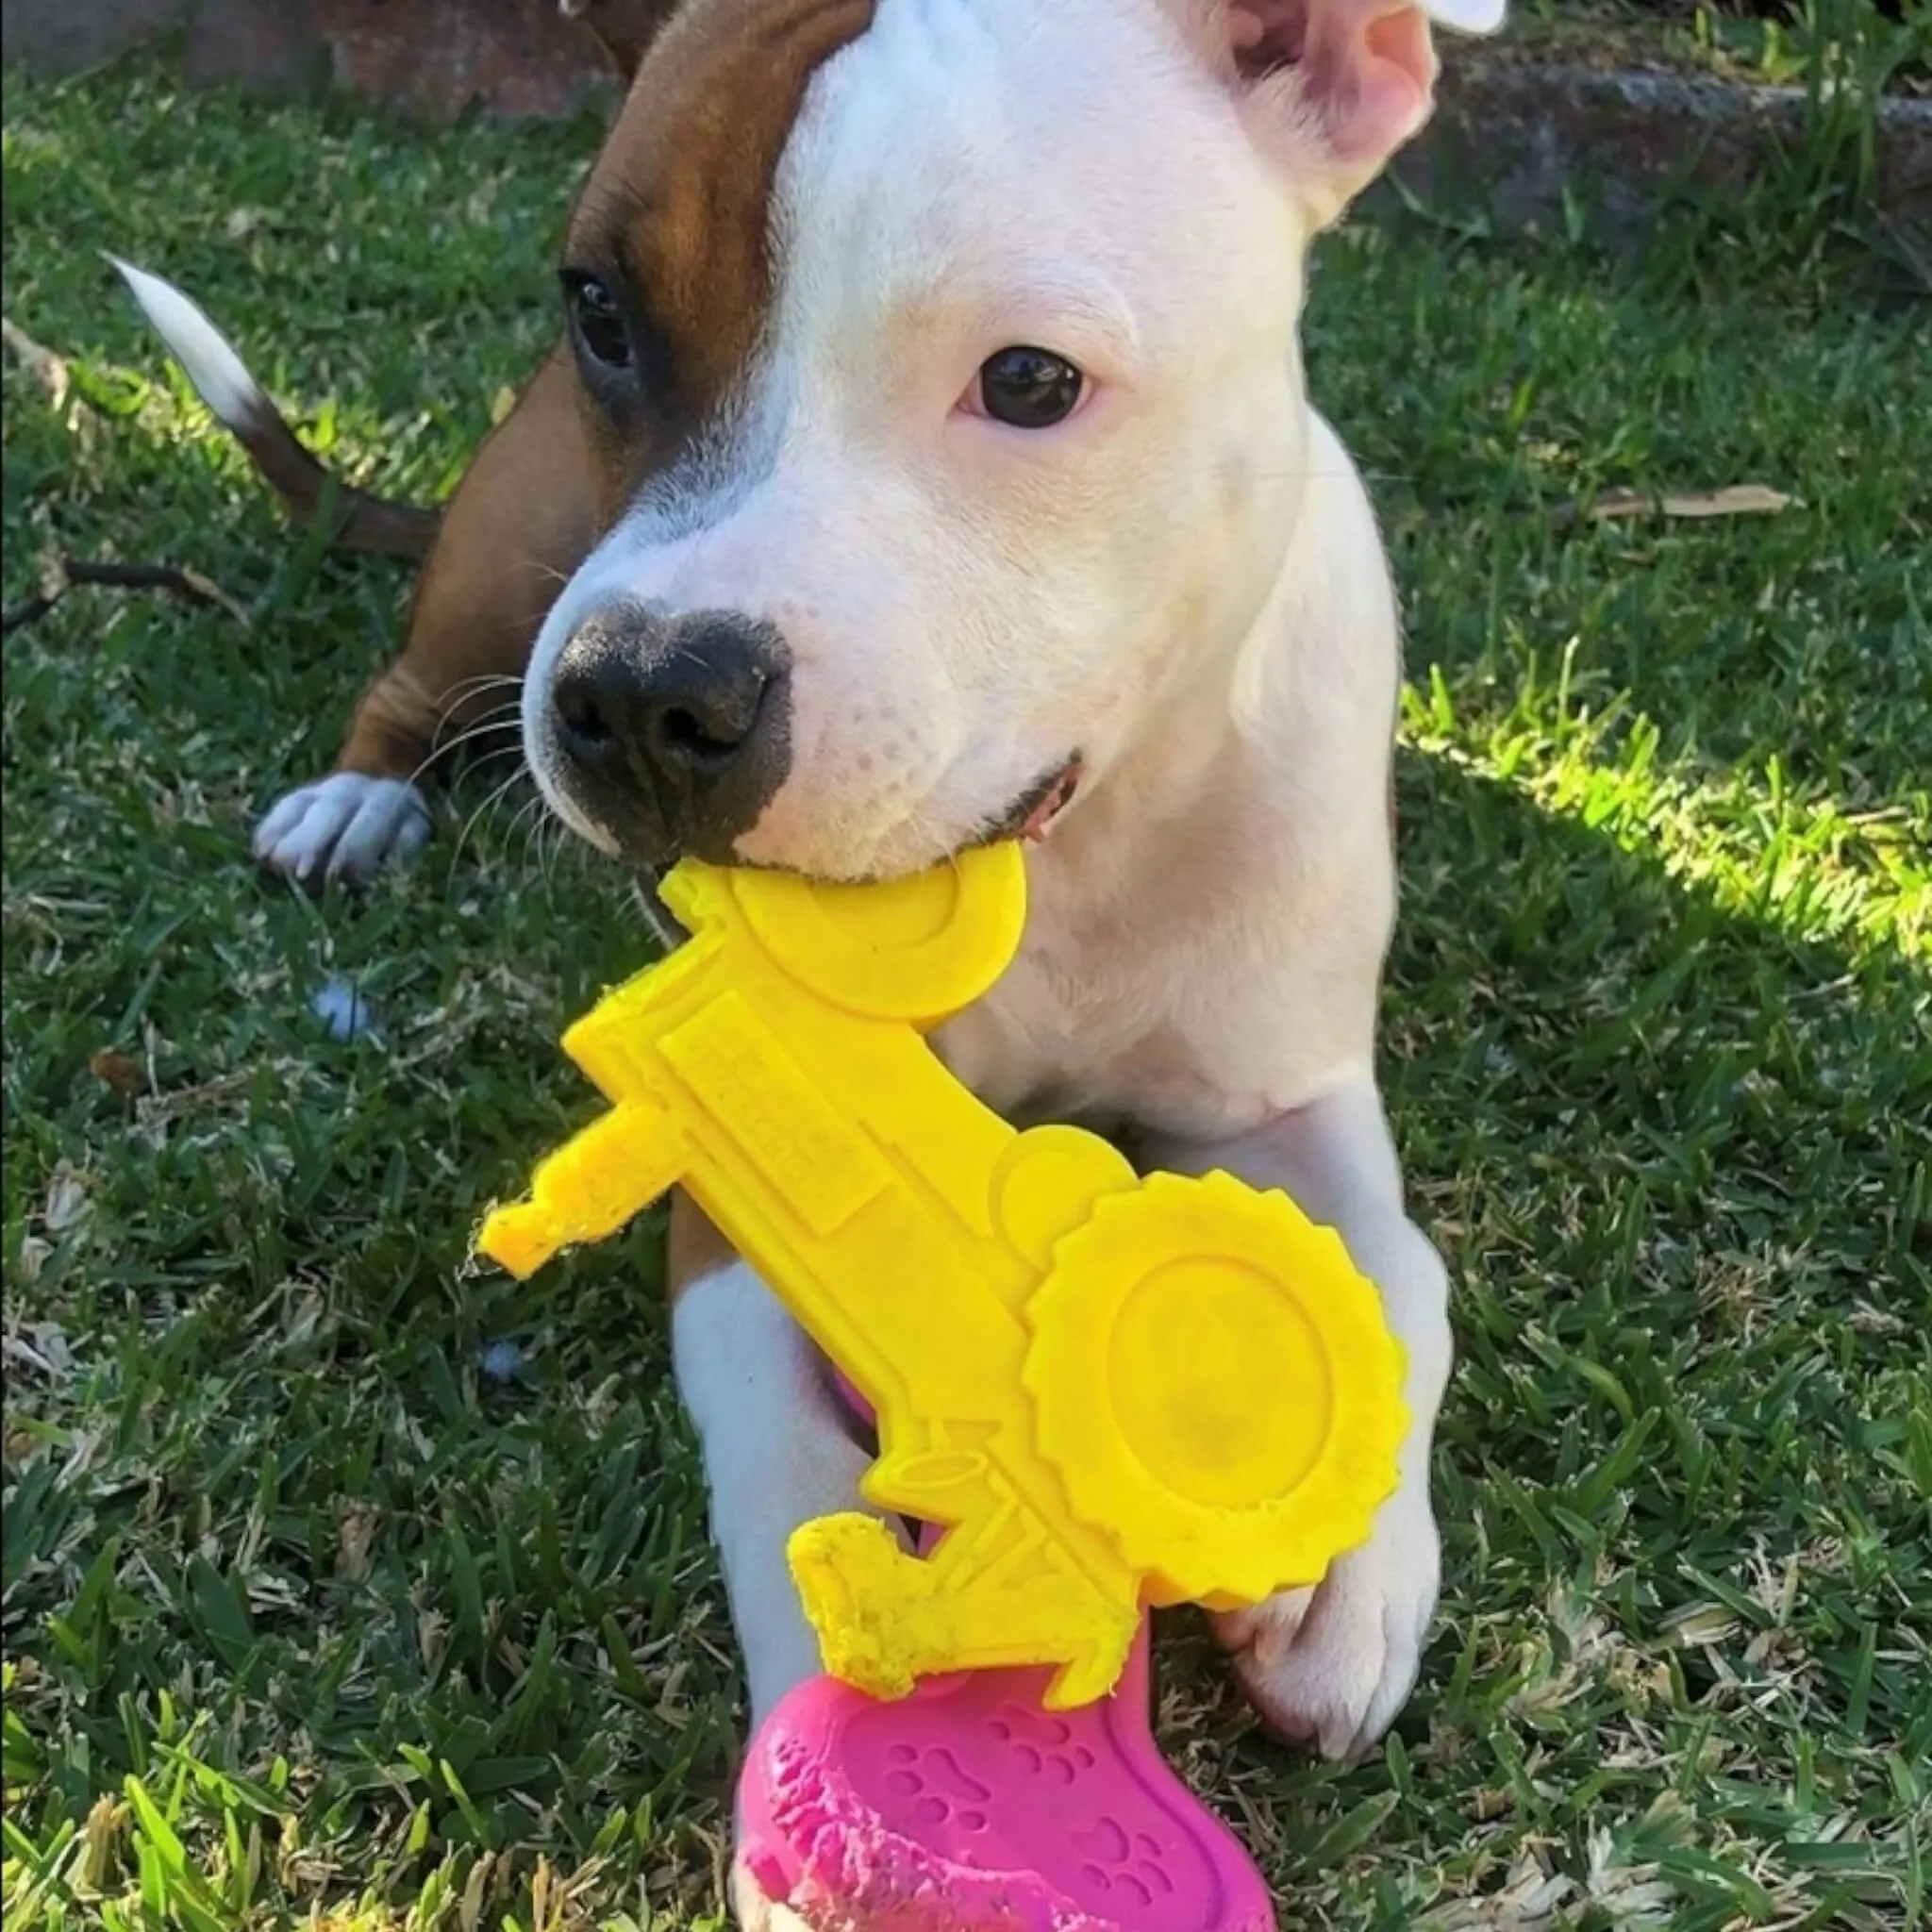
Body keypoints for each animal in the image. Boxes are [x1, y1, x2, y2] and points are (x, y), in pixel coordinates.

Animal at [128, 0, 1499, 1870]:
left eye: (1028, 382)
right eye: (600, 309)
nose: (643, 699)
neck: (1060, 861)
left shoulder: (1282, 1089)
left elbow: (1395, 1269)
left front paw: (1345, 1576)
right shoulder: (728, 1199)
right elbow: (787, 1472)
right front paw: (872, 1770)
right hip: (507, 550)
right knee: (409, 682)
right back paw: (357, 802)